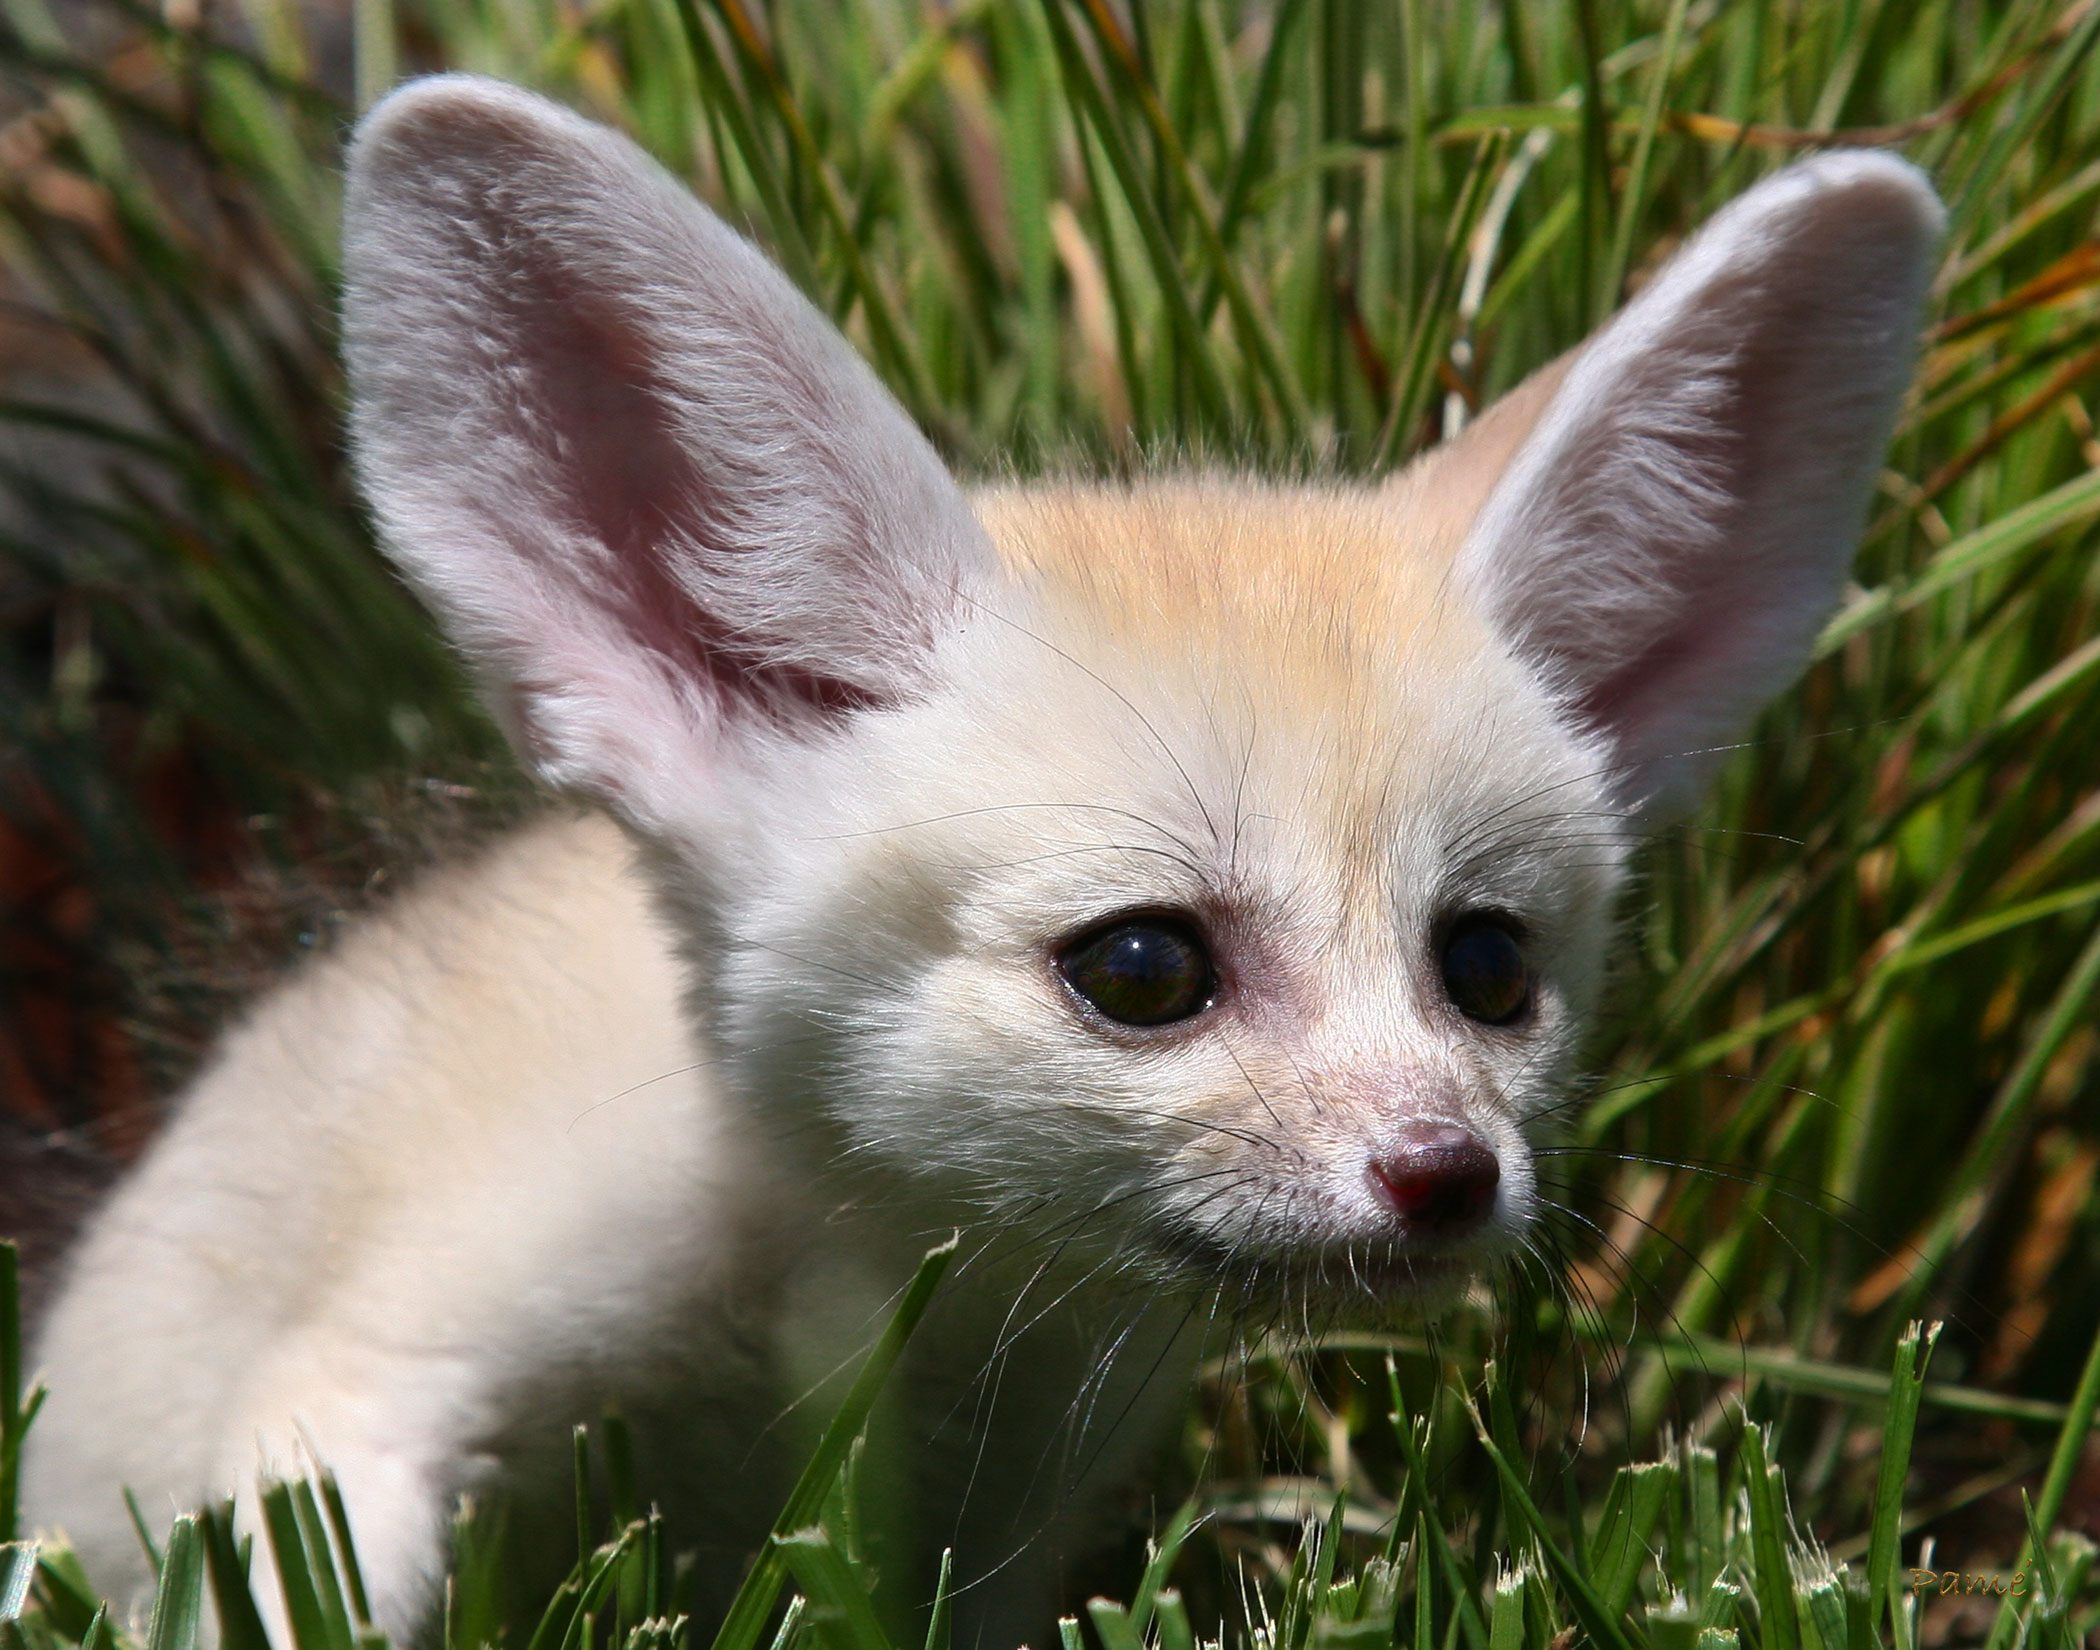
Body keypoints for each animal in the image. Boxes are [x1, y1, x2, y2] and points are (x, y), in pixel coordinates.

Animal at [24, 73, 1940, 1645]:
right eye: (1145, 968)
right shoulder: (360, 1382)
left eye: (1488, 966)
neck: (835, 1301)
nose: (1448, 1176)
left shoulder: (982, 1538)